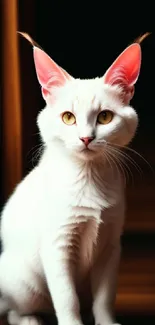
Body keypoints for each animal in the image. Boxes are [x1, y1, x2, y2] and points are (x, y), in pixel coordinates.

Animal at [0, 38, 142, 324]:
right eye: (68, 117)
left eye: (105, 117)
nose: (86, 138)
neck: (88, 179)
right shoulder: (57, 246)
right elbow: (67, 298)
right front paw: (72, 322)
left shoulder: (111, 247)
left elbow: (104, 298)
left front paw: (107, 322)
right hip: (25, 284)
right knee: (12, 310)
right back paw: (30, 320)